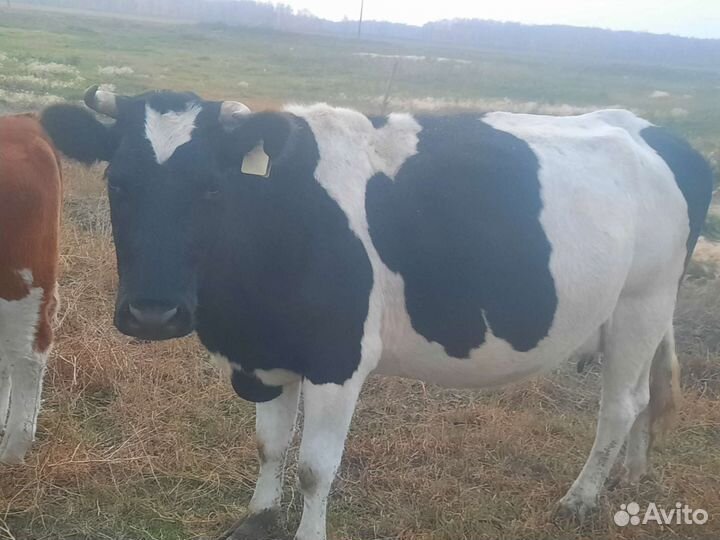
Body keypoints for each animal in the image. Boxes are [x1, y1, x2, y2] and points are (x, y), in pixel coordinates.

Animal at [41, 86, 713, 540]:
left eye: (211, 188)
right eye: (119, 184)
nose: (153, 313)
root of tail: (657, 133)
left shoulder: (338, 358)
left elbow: (315, 467)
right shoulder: (265, 355)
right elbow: (268, 445)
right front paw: (258, 518)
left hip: (642, 303)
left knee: (620, 405)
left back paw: (580, 499)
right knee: (645, 399)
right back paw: (629, 477)